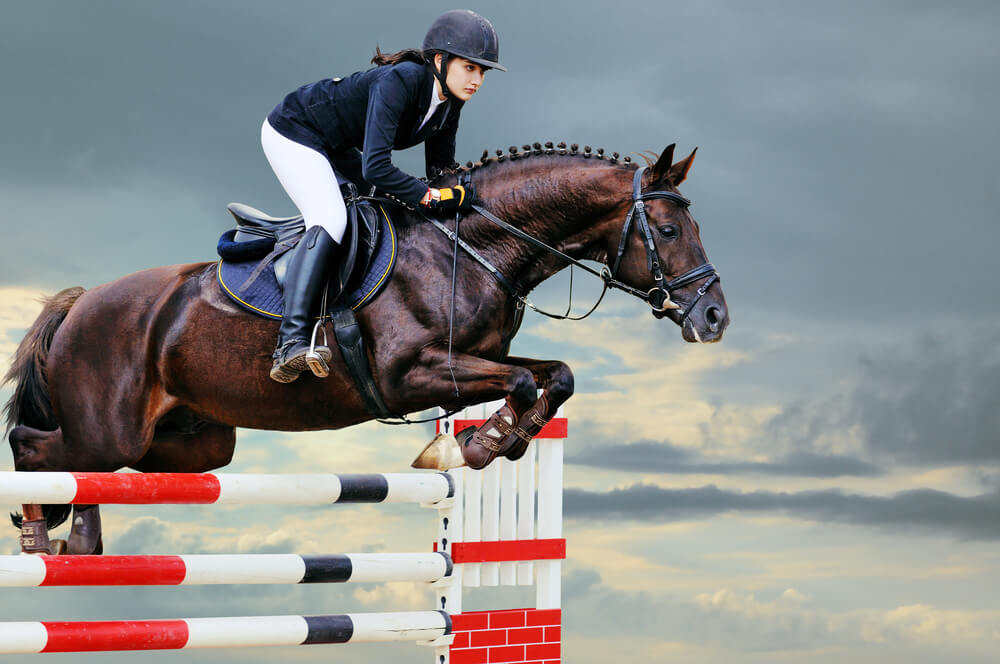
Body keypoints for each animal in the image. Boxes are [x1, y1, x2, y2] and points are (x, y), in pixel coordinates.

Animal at [3, 141, 732, 556]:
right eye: (669, 230)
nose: (714, 317)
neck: (471, 249)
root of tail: (82, 302)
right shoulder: (410, 375)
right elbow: (527, 383)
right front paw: (471, 446)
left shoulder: (477, 361)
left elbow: (556, 376)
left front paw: (493, 442)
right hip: (112, 428)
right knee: (37, 448)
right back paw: (43, 533)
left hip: (192, 444)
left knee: (87, 468)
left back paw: (80, 537)